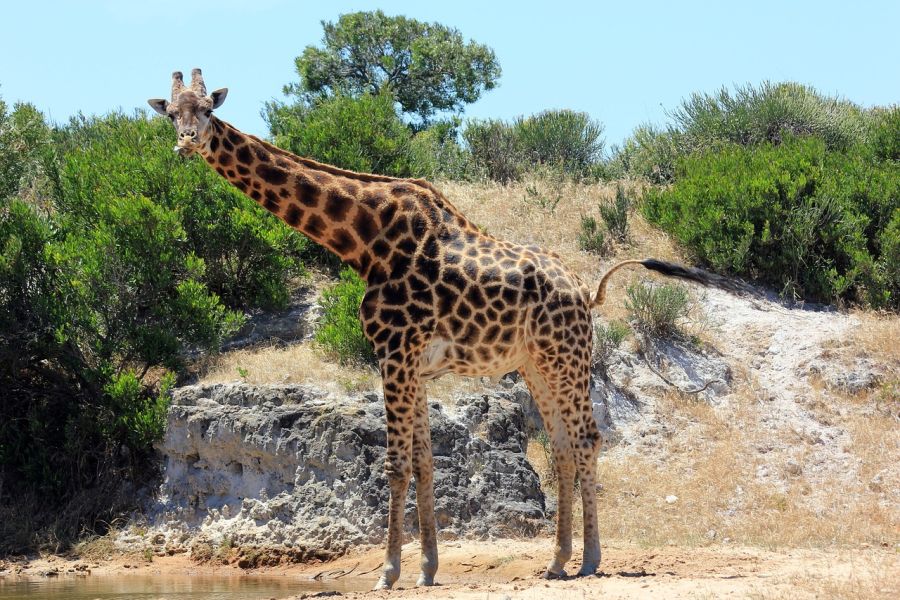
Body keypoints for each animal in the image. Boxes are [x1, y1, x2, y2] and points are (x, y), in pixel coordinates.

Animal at [148, 68, 724, 588]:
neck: (363, 242)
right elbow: (426, 461)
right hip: (536, 365)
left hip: (567, 356)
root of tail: (585, 291)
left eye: (208, 110)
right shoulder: (414, 366)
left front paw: (388, 573)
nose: (186, 143)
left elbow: (396, 464)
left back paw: (590, 560)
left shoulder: (393, 353)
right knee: (561, 444)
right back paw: (558, 561)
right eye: (171, 113)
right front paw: (426, 568)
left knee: (587, 437)